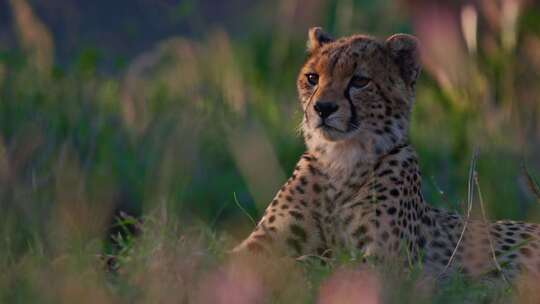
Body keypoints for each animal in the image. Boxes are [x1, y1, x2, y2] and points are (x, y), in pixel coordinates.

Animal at [234, 27, 540, 280]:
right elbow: (236, 258)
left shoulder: (387, 261)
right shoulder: (262, 241)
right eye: (312, 78)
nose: (323, 108)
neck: (340, 160)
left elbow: (321, 264)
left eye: (359, 81)